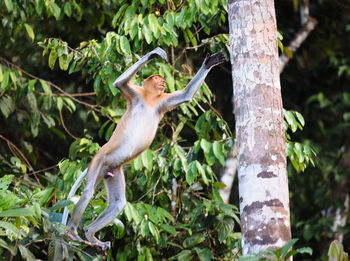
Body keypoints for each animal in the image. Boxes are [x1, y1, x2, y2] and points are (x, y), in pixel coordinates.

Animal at [62, 47, 224, 250]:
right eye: (157, 79)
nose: (163, 82)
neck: (149, 100)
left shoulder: (163, 102)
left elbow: (185, 95)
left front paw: (210, 62)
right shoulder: (136, 94)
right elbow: (119, 83)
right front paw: (153, 54)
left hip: (112, 170)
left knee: (118, 204)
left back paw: (91, 235)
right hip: (100, 160)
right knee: (88, 192)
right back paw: (73, 232)